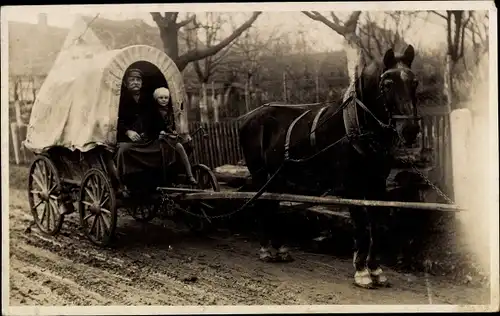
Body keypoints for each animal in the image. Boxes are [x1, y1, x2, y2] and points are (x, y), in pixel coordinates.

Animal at [240, 44, 420, 288]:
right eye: (388, 84)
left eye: (414, 82)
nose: (410, 130)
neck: (357, 125)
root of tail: (249, 117)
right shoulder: (352, 186)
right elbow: (361, 225)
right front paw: (362, 272)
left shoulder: (377, 184)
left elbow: (376, 224)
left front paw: (376, 269)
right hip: (259, 174)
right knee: (262, 205)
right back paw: (266, 249)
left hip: (276, 177)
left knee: (272, 205)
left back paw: (279, 248)